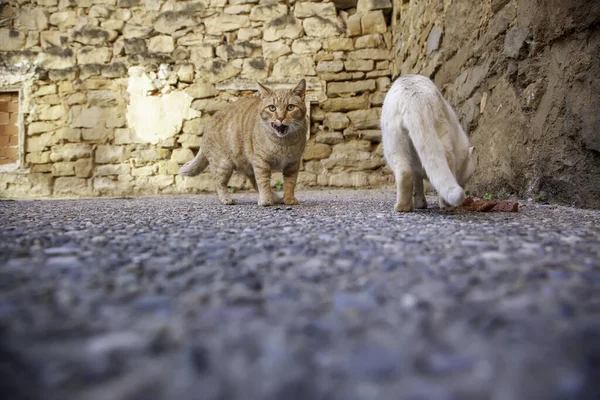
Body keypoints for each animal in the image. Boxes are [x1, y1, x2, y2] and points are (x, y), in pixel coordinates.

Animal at [179, 78, 308, 206]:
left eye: (290, 107)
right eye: (272, 108)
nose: (280, 118)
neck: (283, 143)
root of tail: (209, 122)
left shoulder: (292, 164)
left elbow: (290, 183)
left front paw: (288, 199)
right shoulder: (261, 162)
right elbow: (263, 182)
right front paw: (266, 200)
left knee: (253, 182)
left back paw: (276, 198)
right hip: (223, 164)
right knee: (219, 182)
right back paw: (226, 198)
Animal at [382, 75, 476, 212]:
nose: (464, 185)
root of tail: (412, 99)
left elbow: (417, 183)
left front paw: (420, 203)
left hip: (394, 144)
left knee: (404, 172)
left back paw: (403, 207)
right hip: (440, 132)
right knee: (447, 161)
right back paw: (446, 205)